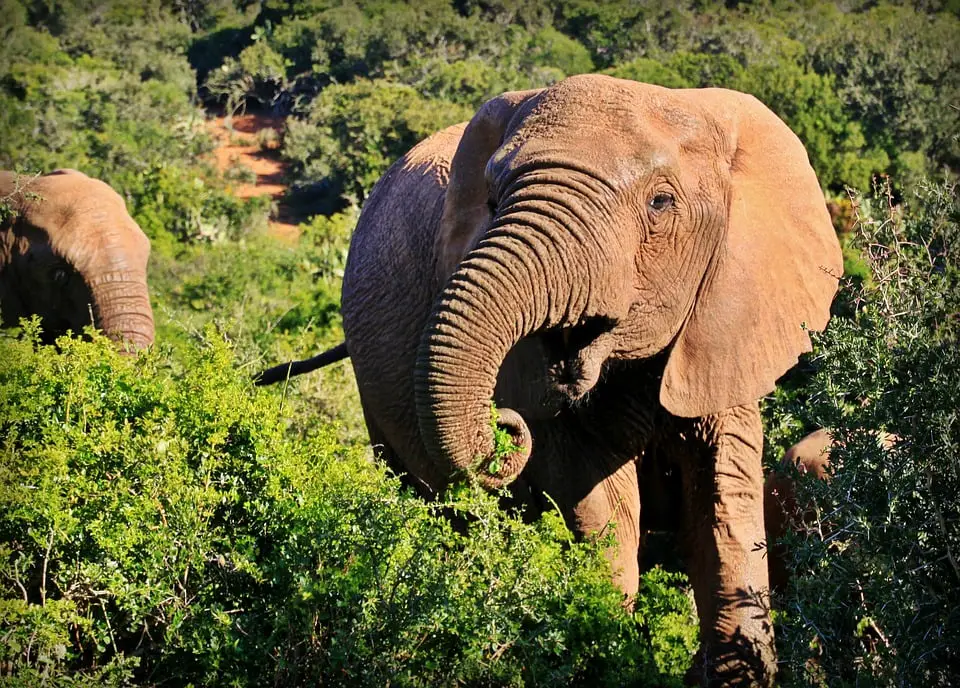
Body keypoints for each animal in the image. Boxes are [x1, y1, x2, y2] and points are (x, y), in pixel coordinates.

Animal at [257, 75, 843, 685]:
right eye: (493, 202)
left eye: (661, 203)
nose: (504, 425)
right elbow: (597, 500)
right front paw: (602, 648)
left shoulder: (723, 322)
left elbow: (724, 495)